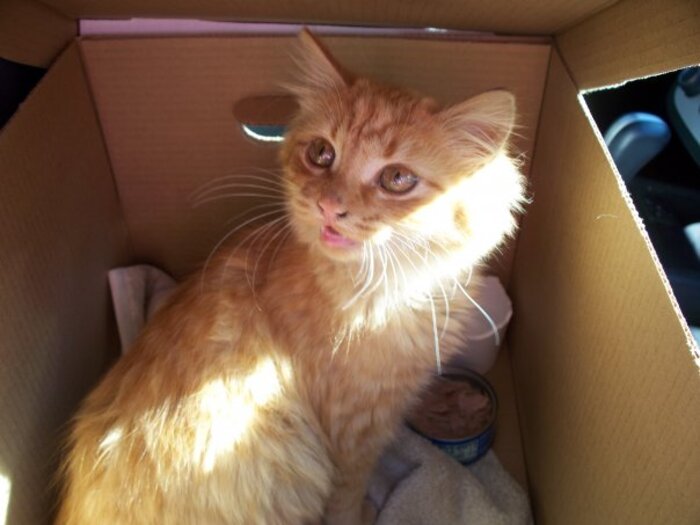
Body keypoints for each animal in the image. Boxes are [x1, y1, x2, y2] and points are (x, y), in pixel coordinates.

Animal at [57, 31, 524, 524]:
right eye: (322, 153)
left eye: (397, 178)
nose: (329, 206)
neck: (389, 293)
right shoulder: (352, 431)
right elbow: (346, 497)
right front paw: (363, 515)